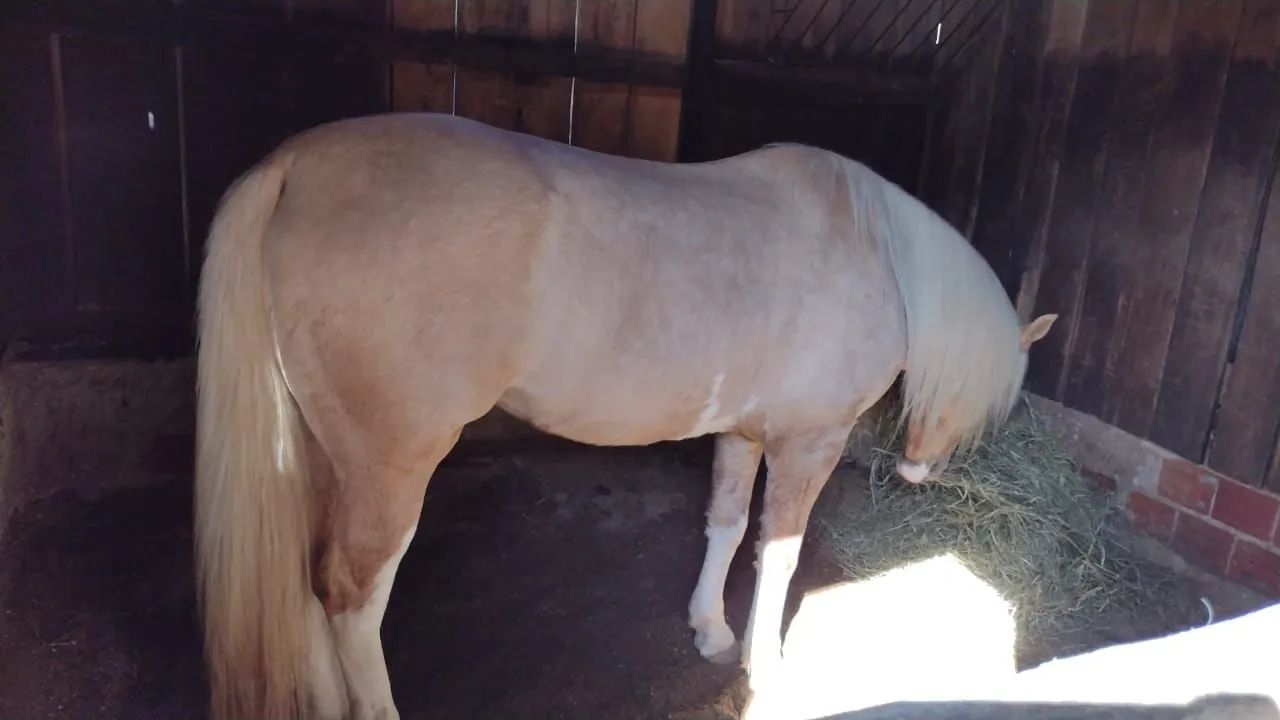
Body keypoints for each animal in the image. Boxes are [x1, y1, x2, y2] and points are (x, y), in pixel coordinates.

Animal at [193, 112, 1056, 720]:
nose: (919, 467)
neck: (880, 256)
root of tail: (294, 166)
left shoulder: (741, 434)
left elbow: (726, 528)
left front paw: (711, 632)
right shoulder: (808, 442)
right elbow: (777, 555)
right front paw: (766, 669)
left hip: (317, 456)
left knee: (308, 581)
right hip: (389, 469)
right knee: (349, 595)